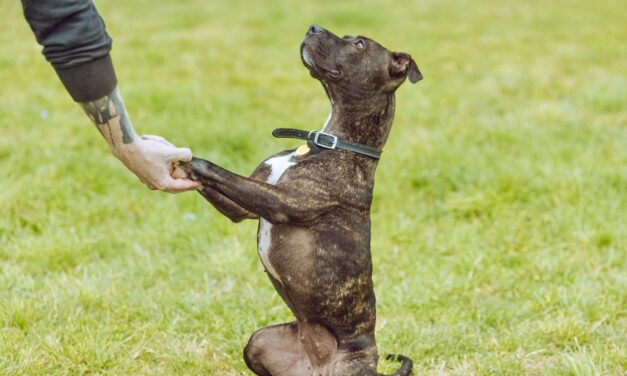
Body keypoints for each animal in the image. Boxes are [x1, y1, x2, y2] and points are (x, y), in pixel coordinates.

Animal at [180, 25, 422, 374]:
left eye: (359, 44)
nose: (313, 27)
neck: (332, 143)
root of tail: (315, 364)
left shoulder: (280, 203)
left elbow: (215, 169)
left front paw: (183, 160)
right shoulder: (243, 207)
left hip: (350, 365)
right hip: (258, 342)